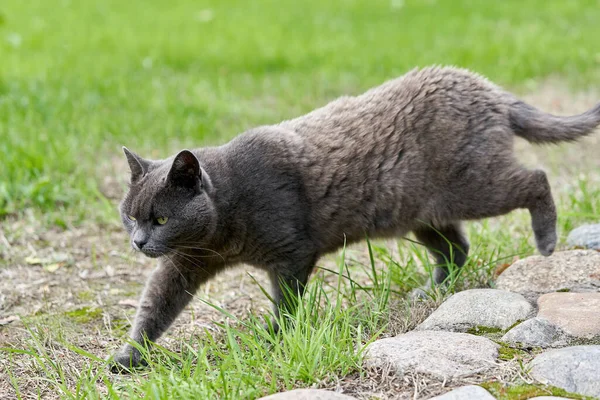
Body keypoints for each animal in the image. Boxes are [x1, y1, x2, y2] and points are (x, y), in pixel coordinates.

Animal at [111, 65, 600, 368]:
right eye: (129, 218)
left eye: (159, 220)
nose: (138, 242)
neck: (221, 232)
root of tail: (488, 88)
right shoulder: (185, 263)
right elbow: (155, 305)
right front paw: (128, 358)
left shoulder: (291, 254)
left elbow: (286, 301)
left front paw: (276, 337)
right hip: (423, 212)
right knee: (456, 248)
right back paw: (432, 291)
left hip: (475, 186)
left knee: (535, 179)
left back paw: (546, 243)